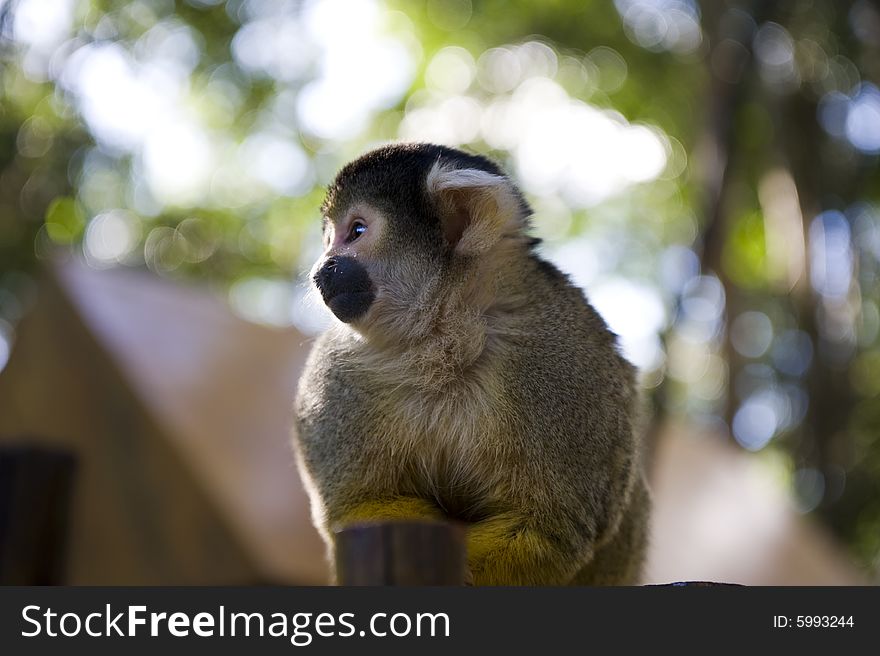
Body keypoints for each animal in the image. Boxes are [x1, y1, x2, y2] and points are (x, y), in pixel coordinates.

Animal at [292, 142, 648, 584]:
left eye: (355, 231)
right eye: (328, 240)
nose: (321, 269)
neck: (444, 341)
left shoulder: (570, 359)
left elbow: (549, 529)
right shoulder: (333, 374)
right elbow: (356, 508)